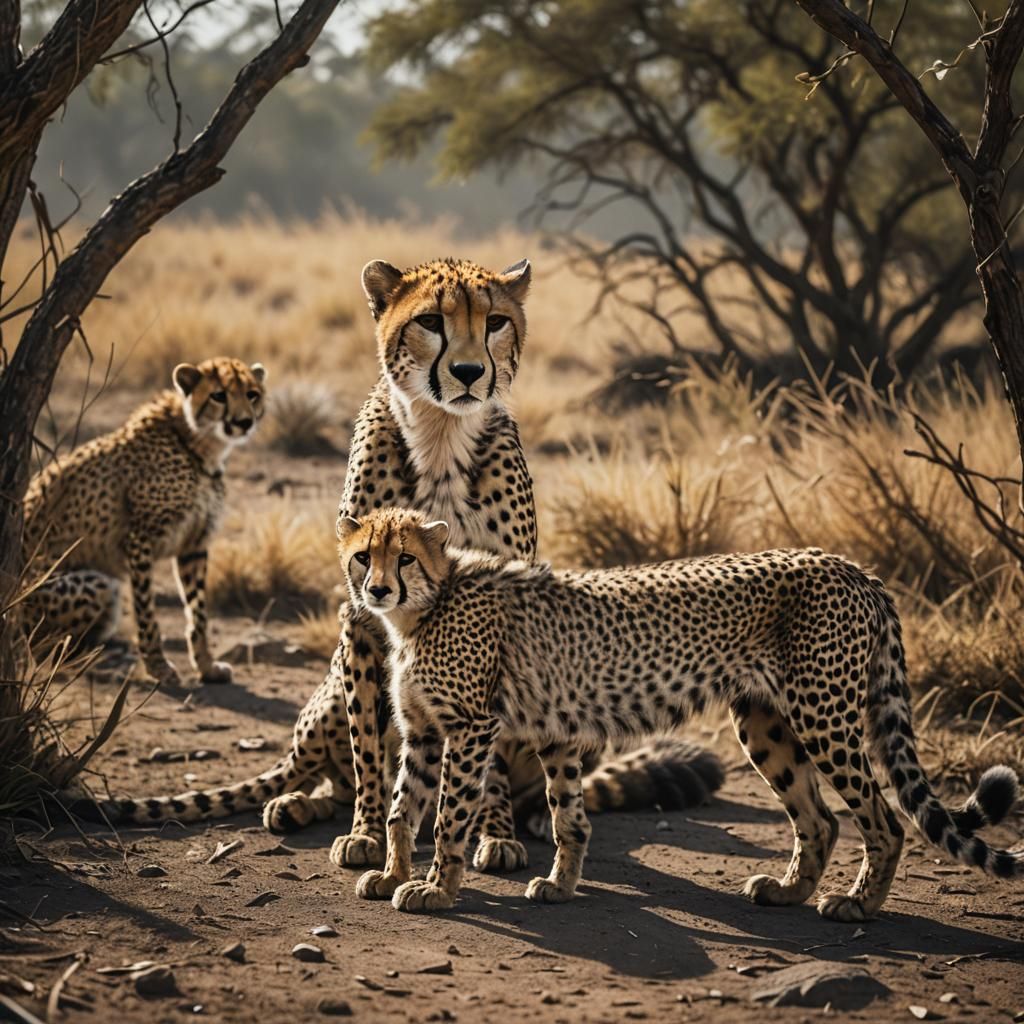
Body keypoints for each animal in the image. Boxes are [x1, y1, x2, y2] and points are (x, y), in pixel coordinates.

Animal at [21, 357, 267, 687]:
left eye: (252, 394)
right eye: (219, 395)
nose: (244, 422)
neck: (199, 443)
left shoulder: (194, 543)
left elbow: (198, 611)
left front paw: (206, 666)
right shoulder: (140, 539)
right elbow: (146, 610)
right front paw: (158, 666)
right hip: (96, 584)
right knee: (38, 649)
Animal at [337, 506, 1023, 922]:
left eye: (404, 557)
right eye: (363, 555)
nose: (377, 590)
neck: (425, 606)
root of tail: (850, 565)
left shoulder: (471, 728)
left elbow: (450, 814)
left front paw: (434, 889)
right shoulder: (441, 732)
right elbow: (414, 809)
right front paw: (396, 873)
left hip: (823, 714)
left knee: (884, 818)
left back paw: (857, 904)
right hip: (764, 722)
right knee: (821, 819)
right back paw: (789, 891)